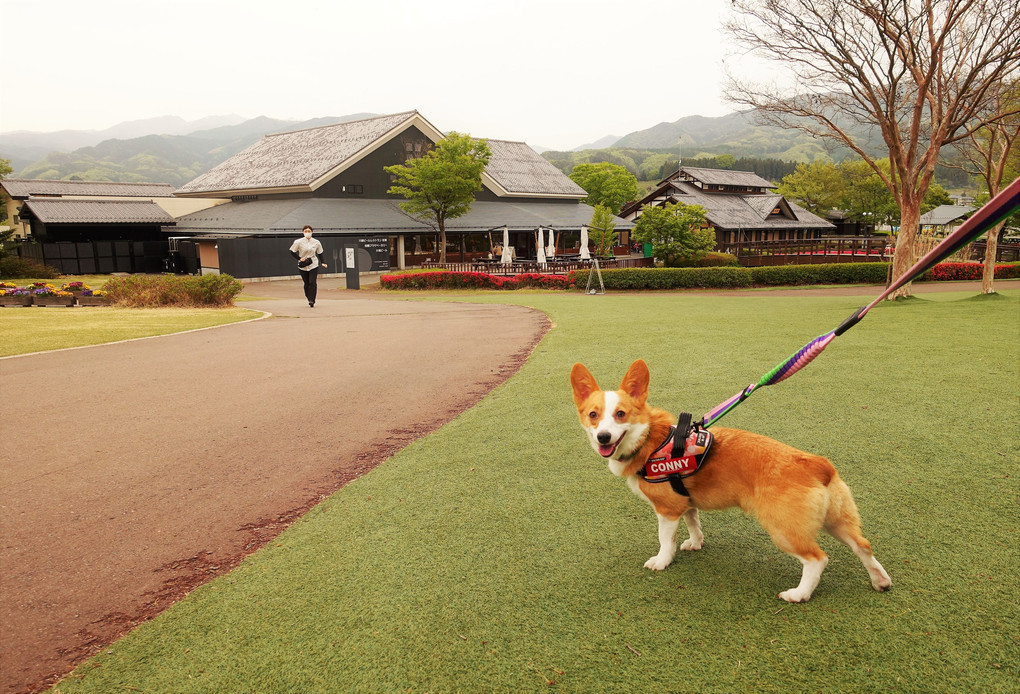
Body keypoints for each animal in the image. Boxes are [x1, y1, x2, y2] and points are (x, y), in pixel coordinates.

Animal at [571, 357, 889, 600]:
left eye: (621, 414)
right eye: (593, 415)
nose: (603, 437)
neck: (649, 439)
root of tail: (817, 465)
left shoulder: (667, 510)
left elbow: (665, 540)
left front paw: (662, 561)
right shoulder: (686, 502)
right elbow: (694, 524)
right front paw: (696, 544)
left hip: (783, 529)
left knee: (817, 559)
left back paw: (798, 594)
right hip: (836, 520)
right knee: (862, 545)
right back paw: (880, 581)